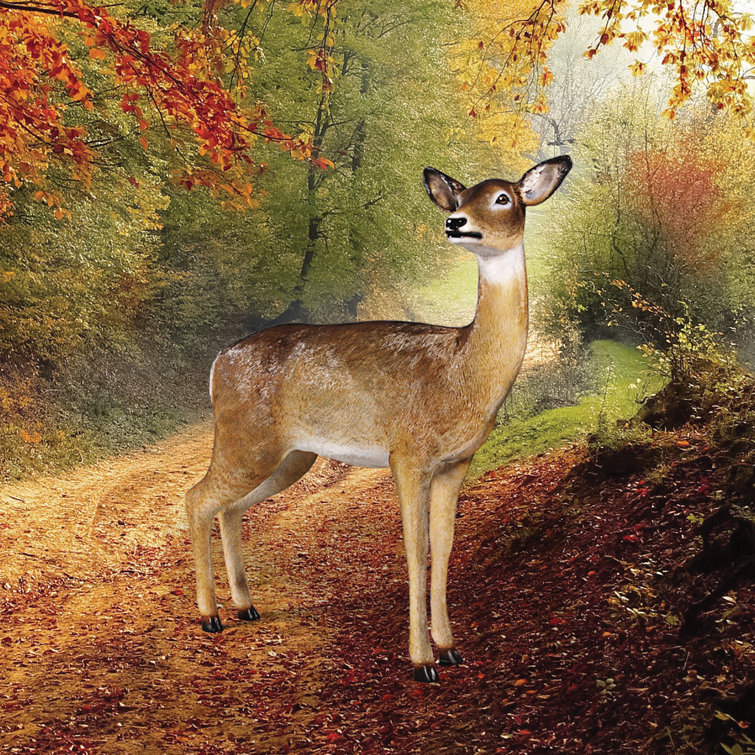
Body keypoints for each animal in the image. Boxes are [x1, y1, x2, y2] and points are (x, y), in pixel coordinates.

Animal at [185, 155, 572, 683]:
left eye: (502, 198)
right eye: (460, 196)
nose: (455, 222)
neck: (461, 370)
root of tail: (217, 363)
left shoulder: (456, 462)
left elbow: (444, 547)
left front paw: (450, 649)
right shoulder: (407, 453)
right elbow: (415, 551)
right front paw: (422, 662)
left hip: (289, 454)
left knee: (228, 506)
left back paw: (246, 606)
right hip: (245, 437)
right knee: (196, 497)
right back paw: (210, 616)